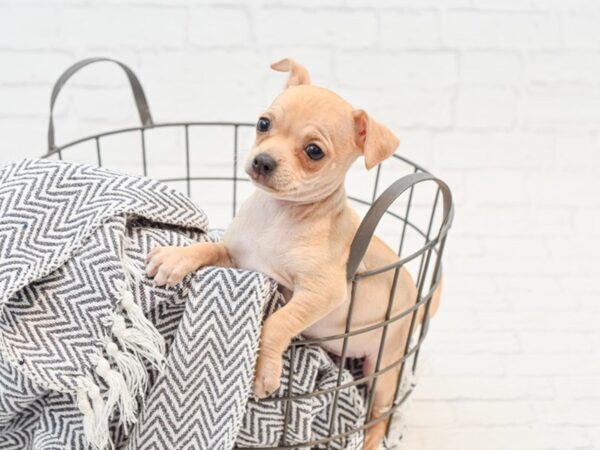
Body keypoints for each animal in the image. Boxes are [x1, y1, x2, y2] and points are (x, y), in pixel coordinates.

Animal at [146, 59, 440, 450]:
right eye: (263, 124)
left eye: (314, 151)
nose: (263, 161)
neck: (279, 214)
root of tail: (419, 308)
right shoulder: (239, 257)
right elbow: (208, 246)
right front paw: (176, 259)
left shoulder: (320, 292)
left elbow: (277, 322)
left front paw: (263, 372)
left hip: (384, 367)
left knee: (381, 413)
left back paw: (368, 439)